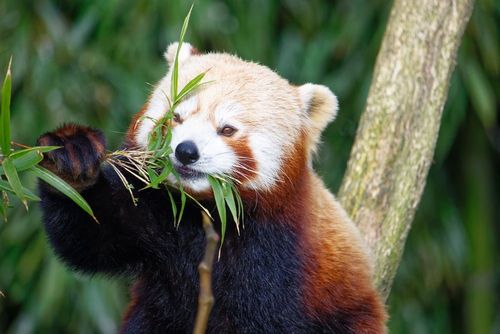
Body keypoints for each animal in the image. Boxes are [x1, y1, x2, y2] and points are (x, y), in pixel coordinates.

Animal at [37, 41, 388, 332]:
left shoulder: (282, 256)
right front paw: (72, 157)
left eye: (227, 129)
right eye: (176, 116)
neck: (207, 210)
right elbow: (91, 235)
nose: (186, 151)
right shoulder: (153, 215)